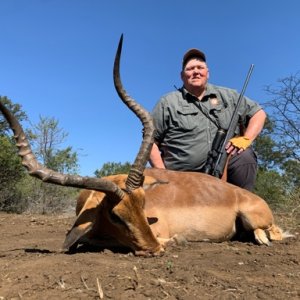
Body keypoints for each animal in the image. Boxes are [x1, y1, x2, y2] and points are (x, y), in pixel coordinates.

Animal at [0, 35, 290, 255]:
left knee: (272, 233)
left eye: (143, 205)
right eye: (115, 215)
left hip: (255, 218)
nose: (155, 249)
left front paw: (176, 240)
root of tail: (247, 196)